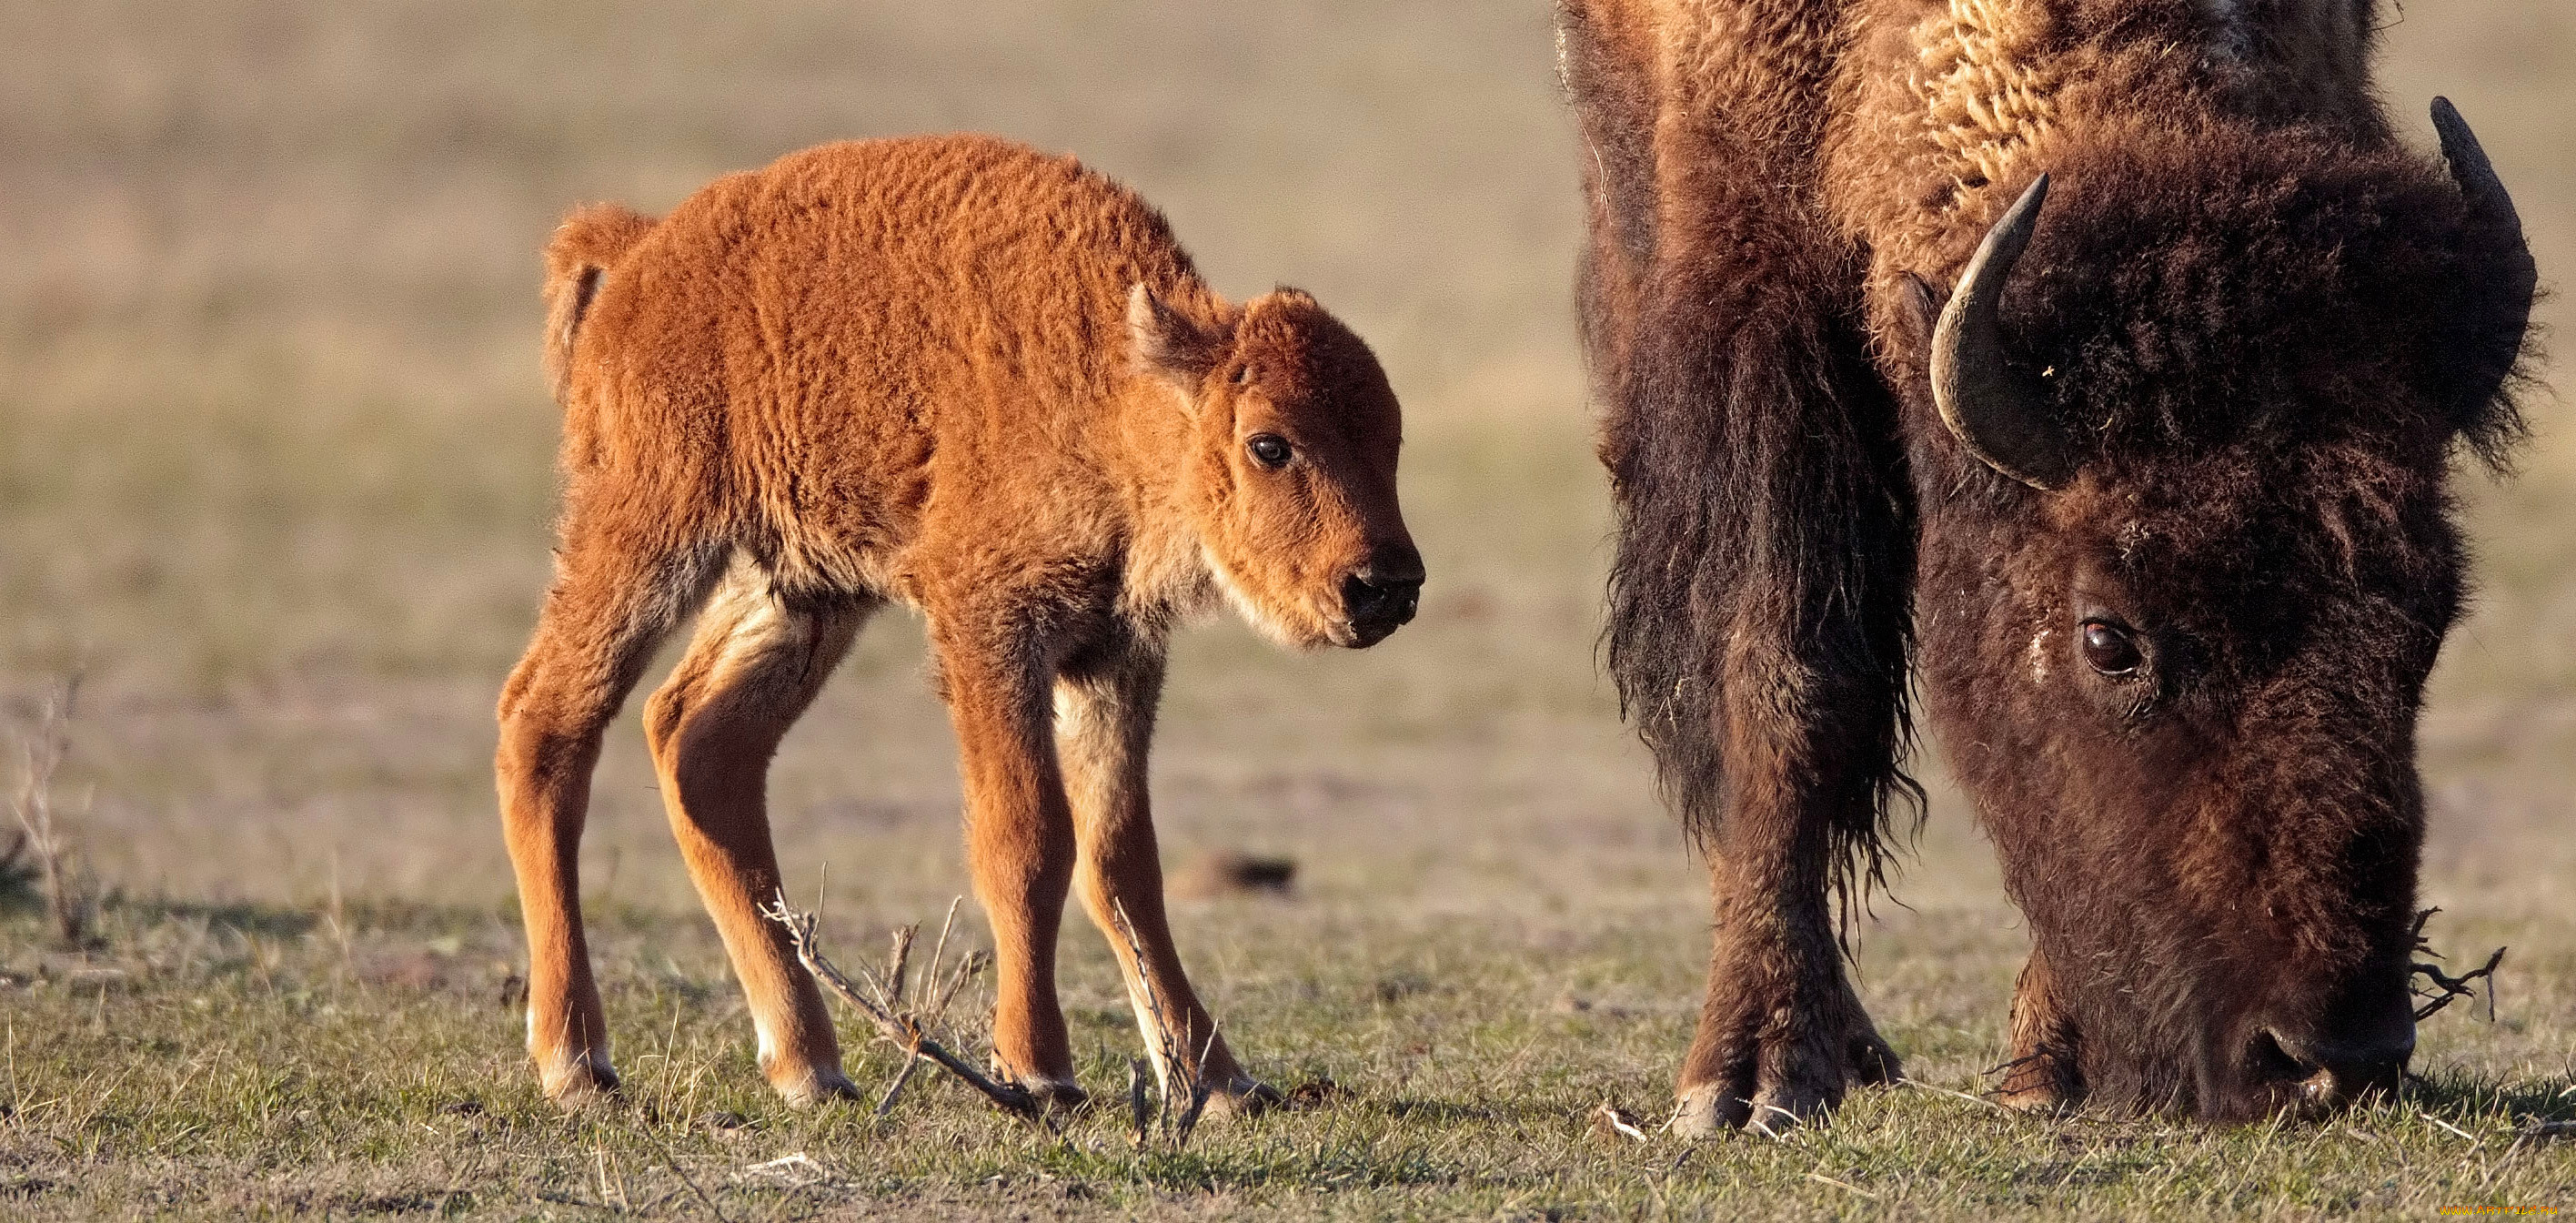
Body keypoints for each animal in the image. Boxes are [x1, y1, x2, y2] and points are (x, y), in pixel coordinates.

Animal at [491, 132, 1422, 1112]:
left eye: (1391, 438)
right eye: (1270, 443)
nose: (1385, 587)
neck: (1109, 388)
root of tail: (643, 249)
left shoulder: (1113, 652)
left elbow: (1122, 861)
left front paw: (1217, 1081)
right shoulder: (991, 631)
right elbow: (1028, 841)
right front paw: (1041, 1069)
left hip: (801, 591)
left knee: (702, 745)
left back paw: (810, 1066)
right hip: (648, 534)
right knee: (546, 723)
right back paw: (577, 1061)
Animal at [1555, 0, 2524, 1127]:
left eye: (2430, 621)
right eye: (2108, 639)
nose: (2335, 1060)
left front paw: (2050, 1067)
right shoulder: (1752, 279)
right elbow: (1789, 678)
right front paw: (1748, 1078)